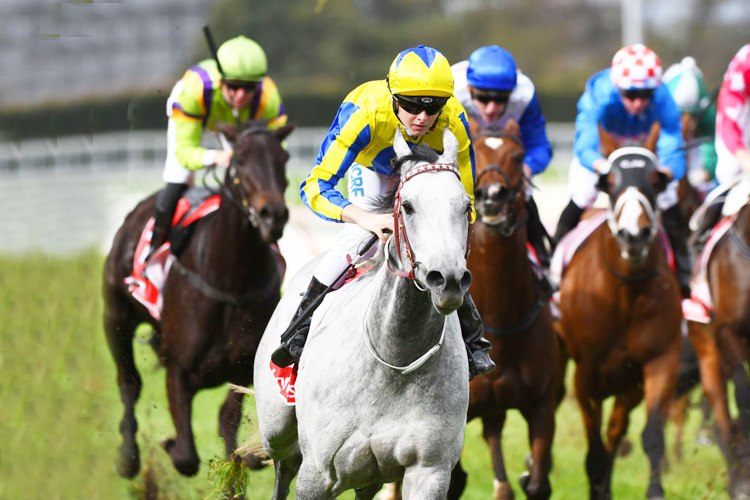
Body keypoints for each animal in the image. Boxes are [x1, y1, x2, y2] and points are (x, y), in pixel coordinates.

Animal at [102, 120, 294, 480]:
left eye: (283, 158)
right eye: (240, 159)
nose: (273, 214)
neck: (231, 282)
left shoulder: (240, 370)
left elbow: (228, 433)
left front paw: (249, 458)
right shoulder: (176, 367)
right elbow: (186, 458)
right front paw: (167, 444)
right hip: (116, 317)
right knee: (129, 382)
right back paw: (128, 457)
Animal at [256, 128, 472, 500]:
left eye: (466, 206)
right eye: (408, 206)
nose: (448, 280)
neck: (394, 357)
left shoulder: (429, 470)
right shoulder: (317, 474)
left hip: (370, 474)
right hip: (277, 430)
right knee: (283, 466)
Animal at [556, 146, 684, 498]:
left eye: (656, 180)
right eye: (608, 182)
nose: (634, 236)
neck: (626, 291)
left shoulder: (658, 361)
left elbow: (649, 433)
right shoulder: (586, 373)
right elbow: (594, 448)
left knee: (616, 429)